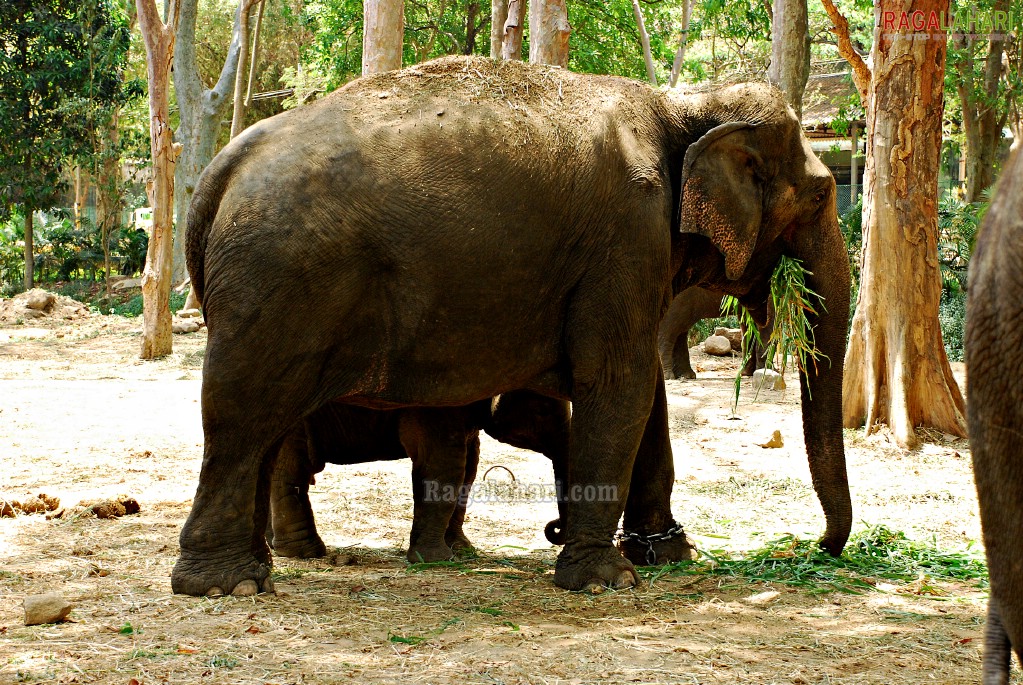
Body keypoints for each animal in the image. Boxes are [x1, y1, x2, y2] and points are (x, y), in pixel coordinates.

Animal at [171, 56, 851, 597]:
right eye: (822, 196)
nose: (811, 546)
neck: (682, 105)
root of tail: (217, 173)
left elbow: (646, 395)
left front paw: (669, 555)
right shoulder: (627, 237)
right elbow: (619, 385)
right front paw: (604, 580)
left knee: (266, 429)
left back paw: (255, 572)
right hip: (279, 283)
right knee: (243, 415)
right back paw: (224, 585)